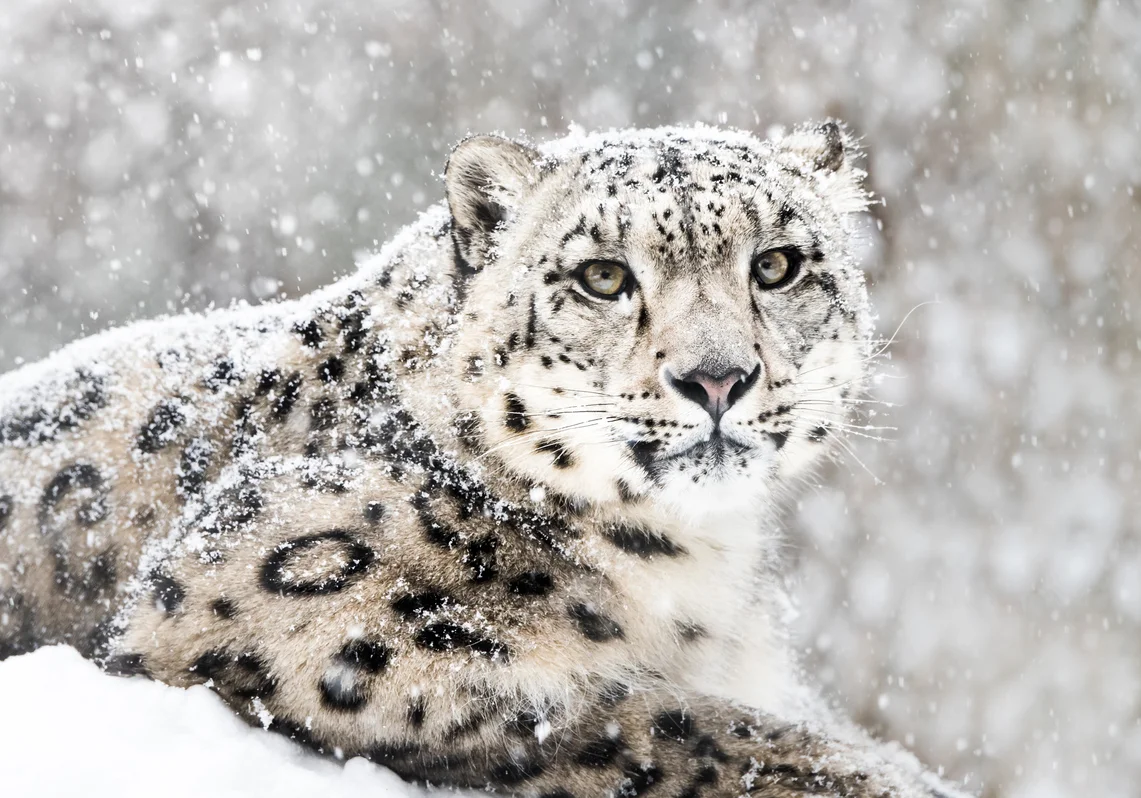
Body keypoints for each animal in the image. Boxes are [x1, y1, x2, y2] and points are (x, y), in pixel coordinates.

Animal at [0, 122, 969, 797]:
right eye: (603, 277)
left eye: (776, 264)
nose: (717, 377)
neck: (693, 569)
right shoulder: (287, 616)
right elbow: (651, 723)